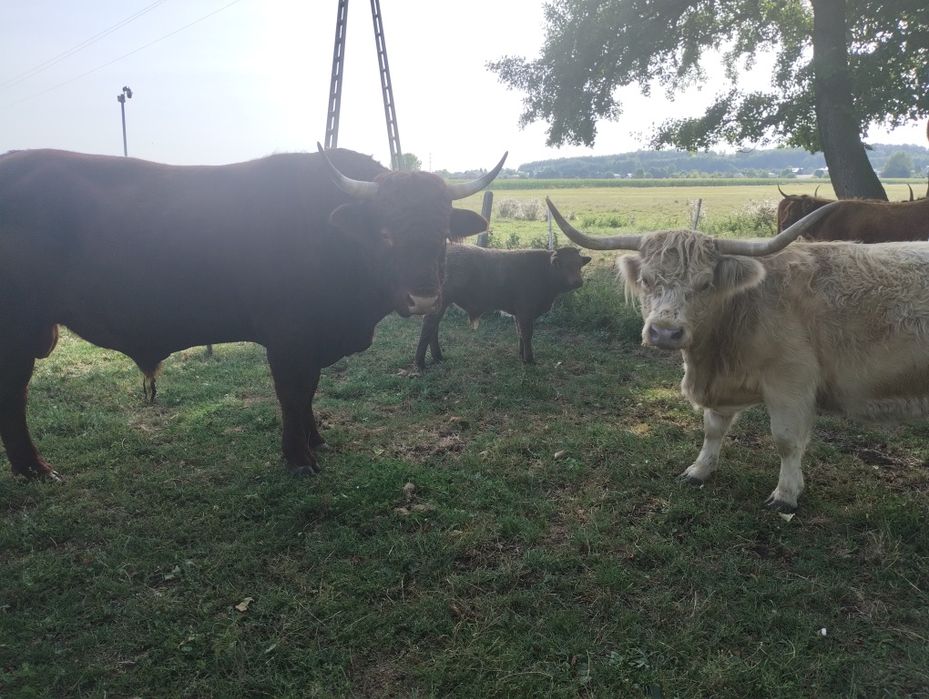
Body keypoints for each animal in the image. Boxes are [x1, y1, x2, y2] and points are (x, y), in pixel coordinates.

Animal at [0, 145, 506, 480]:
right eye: (385, 233)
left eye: (442, 232)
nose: (424, 298)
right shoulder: (289, 338)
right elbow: (293, 393)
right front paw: (299, 458)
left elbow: (309, 392)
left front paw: (315, 439)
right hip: (17, 329)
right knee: (14, 396)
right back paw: (34, 469)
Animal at [414, 244, 591, 368]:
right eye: (562, 264)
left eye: (579, 264)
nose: (578, 281)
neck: (544, 273)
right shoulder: (525, 311)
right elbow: (527, 334)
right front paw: (530, 360)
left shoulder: (517, 313)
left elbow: (520, 333)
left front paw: (522, 356)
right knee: (429, 325)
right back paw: (420, 363)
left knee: (433, 327)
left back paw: (438, 358)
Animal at [547, 195, 929, 511]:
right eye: (647, 279)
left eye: (705, 283)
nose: (665, 332)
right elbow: (713, 429)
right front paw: (699, 470)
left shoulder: (791, 384)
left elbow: (787, 441)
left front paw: (786, 495)